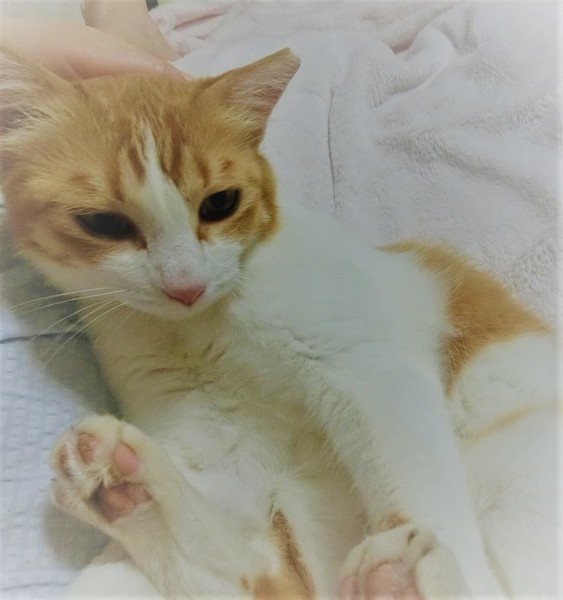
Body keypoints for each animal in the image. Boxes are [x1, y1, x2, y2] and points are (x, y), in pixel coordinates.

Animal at [0, 47, 559, 599]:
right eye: (104, 223)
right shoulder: (214, 447)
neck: (201, 327)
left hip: (510, 476)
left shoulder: (373, 372)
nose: (185, 286)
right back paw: (119, 484)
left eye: (220, 203)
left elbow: (425, 498)